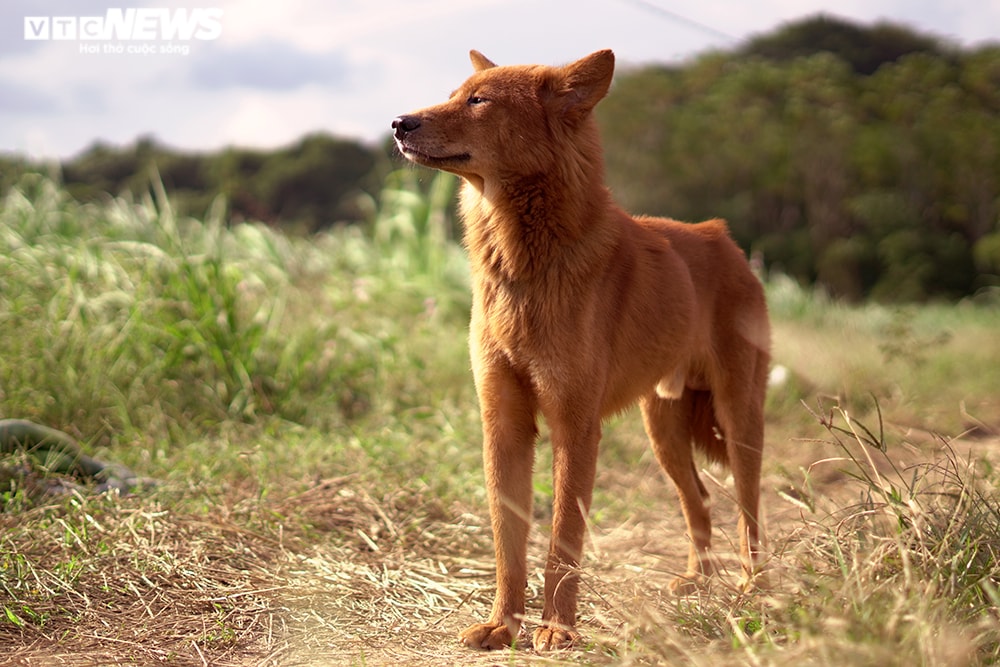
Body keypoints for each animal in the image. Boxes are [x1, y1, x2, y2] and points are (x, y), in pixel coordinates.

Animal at [394, 51, 768, 652]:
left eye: (479, 101)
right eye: (452, 94)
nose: (398, 123)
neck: (525, 266)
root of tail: (724, 239)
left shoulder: (575, 427)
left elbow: (562, 539)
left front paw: (557, 628)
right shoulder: (503, 425)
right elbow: (508, 542)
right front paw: (502, 625)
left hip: (738, 419)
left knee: (748, 508)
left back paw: (755, 585)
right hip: (663, 430)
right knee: (700, 501)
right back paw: (697, 581)